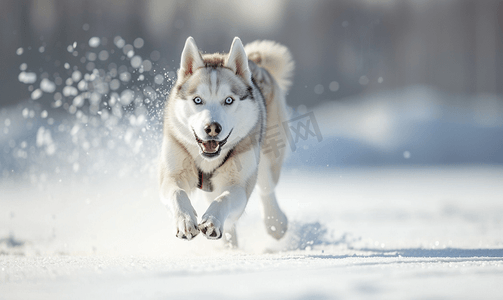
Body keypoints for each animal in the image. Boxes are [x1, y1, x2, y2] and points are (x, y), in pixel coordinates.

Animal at [159, 36, 296, 246]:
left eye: (229, 100)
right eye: (197, 100)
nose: (212, 128)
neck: (208, 161)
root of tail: (255, 61)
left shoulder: (238, 183)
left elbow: (225, 199)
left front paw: (212, 222)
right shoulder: (172, 173)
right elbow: (177, 192)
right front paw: (185, 221)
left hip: (266, 155)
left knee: (266, 188)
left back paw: (275, 224)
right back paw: (229, 246)